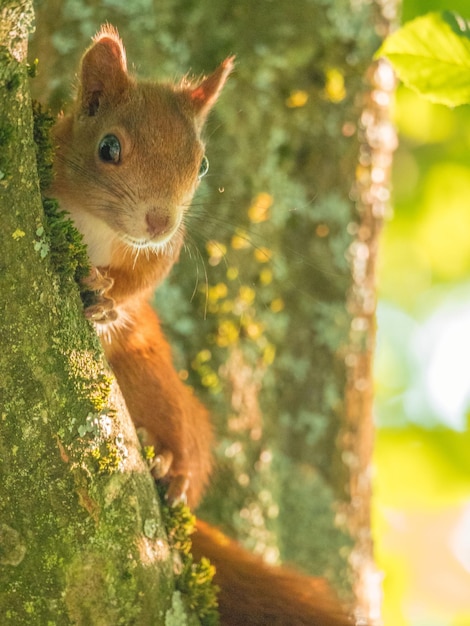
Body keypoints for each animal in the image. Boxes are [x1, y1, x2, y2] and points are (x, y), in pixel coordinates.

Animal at [48, 25, 348, 624]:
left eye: (202, 164)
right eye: (108, 148)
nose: (159, 220)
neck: (95, 225)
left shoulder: (161, 252)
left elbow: (143, 280)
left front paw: (108, 299)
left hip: (161, 388)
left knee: (189, 447)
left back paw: (169, 464)